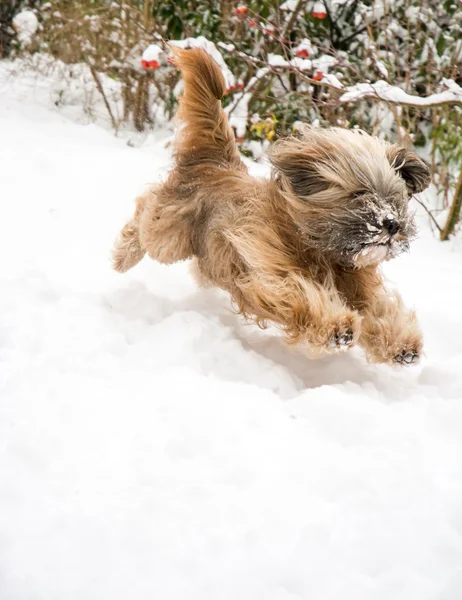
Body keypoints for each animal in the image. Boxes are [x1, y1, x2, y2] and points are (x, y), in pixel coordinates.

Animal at [113, 47, 432, 364]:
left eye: (394, 199)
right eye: (359, 193)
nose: (392, 224)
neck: (318, 249)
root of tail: (216, 164)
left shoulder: (358, 284)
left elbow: (378, 310)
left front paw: (401, 343)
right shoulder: (268, 268)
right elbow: (299, 293)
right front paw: (336, 326)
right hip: (170, 233)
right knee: (145, 211)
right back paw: (124, 255)